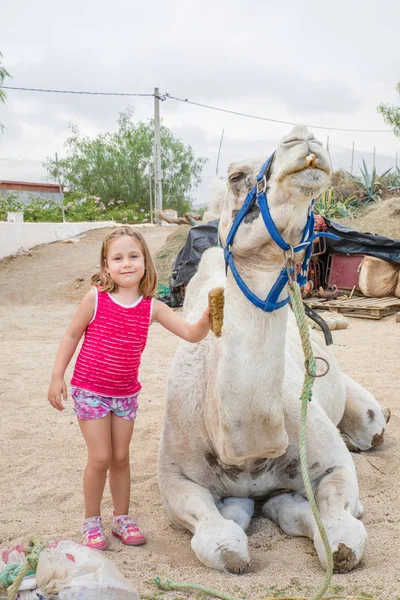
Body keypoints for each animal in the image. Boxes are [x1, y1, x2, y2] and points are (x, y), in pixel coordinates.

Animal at [157, 124, 390, 576]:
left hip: (366, 418)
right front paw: (241, 514)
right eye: (235, 176)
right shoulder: (174, 478)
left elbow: (341, 535)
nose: (304, 139)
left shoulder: (334, 464)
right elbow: (221, 544)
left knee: (371, 426)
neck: (246, 447)